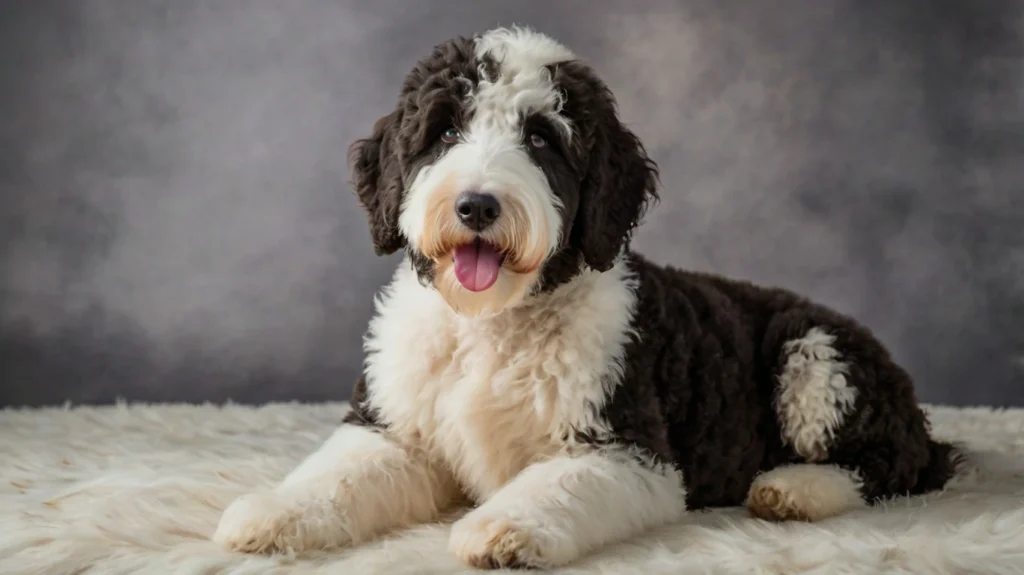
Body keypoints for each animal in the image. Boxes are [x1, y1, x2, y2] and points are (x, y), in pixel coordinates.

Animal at [211, 25, 962, 564]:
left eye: (542, 139)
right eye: (445, 130)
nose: (477, 205)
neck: (492, 324)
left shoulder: (626, 449)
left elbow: (556, 485)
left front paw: (501, 529)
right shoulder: (396, 427)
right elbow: (338, 475)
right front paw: (272, 513)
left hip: (815, 357)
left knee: (896, 463)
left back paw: (794, 489)